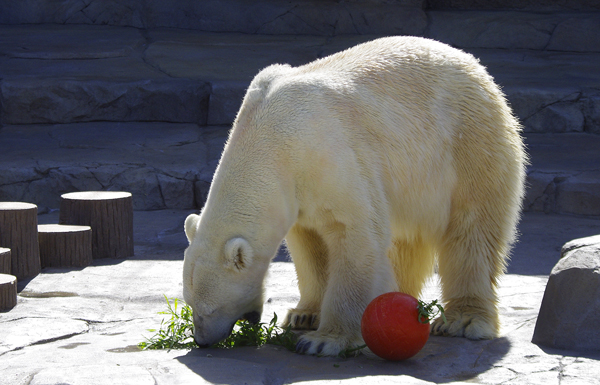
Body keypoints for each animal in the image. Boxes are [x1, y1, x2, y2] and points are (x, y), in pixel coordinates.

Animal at [183, 36, 524, 356]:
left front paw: (324, 340)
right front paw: (304, 315)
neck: (265, 137)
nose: (202, 341)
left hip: (468, 144)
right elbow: (310, 243)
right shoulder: (297, 188)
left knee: (472, 231)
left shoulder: (326, 154)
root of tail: (475, 65)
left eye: (209, 310)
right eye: (188, 302)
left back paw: (464, 319)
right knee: (407, 241)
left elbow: (354, 232)